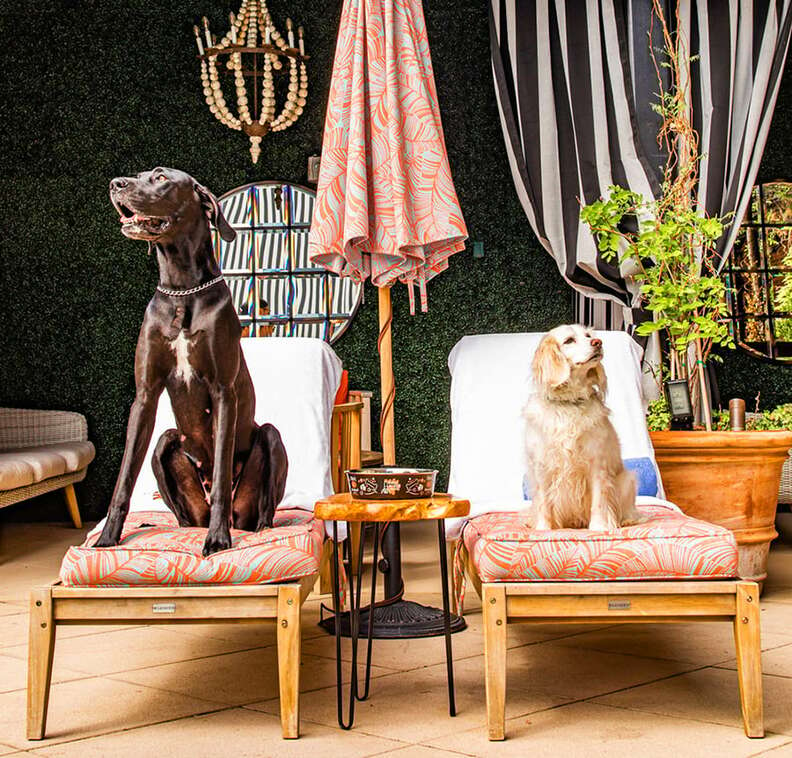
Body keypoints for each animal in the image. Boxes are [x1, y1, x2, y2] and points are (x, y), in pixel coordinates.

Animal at [96, 168, 288, 560]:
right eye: (139, 175)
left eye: (160, 178)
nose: (115, 184)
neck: (181, 289)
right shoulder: (145, 395)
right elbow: (124, 478)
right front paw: (108, 538)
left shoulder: (223, 392)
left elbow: (222, 473)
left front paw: (217, 540)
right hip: (164, 444)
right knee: (183, 506)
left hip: (270, 439)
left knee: (261, 502)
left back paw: (253, 527)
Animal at [524, 326, 644, 536]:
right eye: (569, 340)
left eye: (588, 336)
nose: (598, 342)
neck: (568, 404)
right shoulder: (542, 467)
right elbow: (544, 504)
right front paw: (543, 529)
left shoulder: (597, 464)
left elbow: (599, 501)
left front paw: (599, 527)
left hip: (626, 480)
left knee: (627, 510)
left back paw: (626, 520)